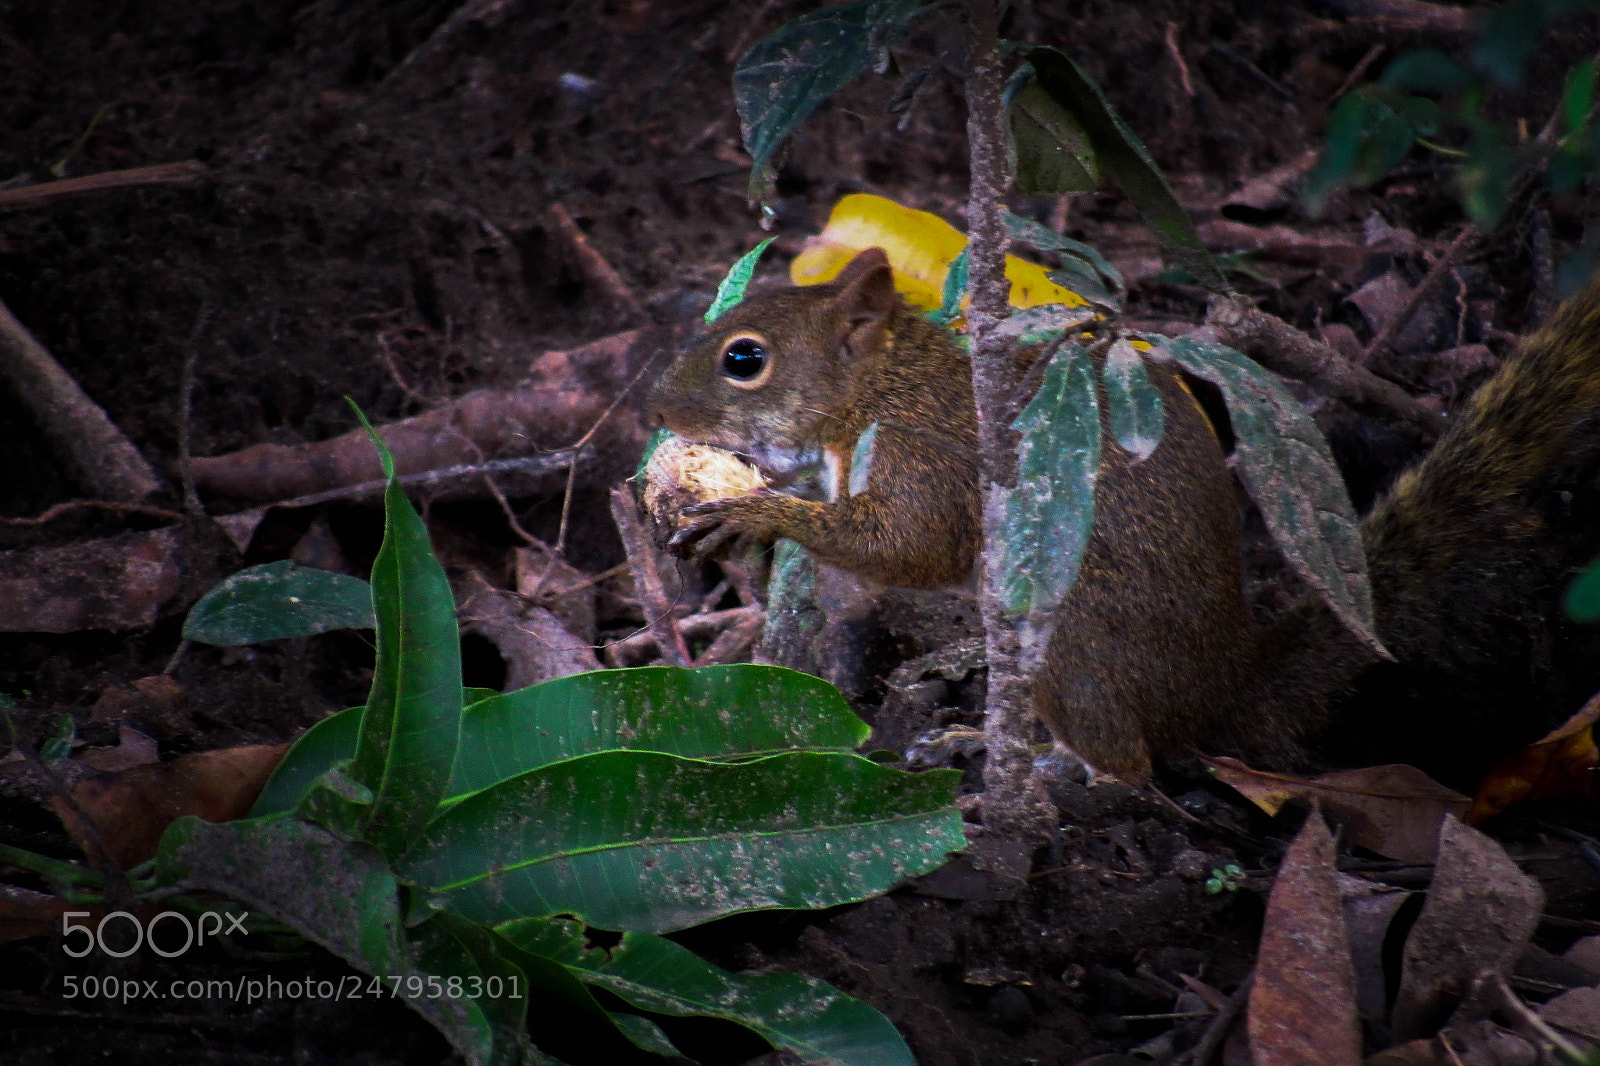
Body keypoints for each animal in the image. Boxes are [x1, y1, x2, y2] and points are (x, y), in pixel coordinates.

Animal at [648, 246, 1600, 785]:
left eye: (744, 359)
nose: (656, 406)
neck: (881, 385)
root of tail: (1223, 688)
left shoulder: (932, 459)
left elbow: (908, 545)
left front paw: (756, 515)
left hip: (1071, 644)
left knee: (1128, 769)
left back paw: (1031, 772)